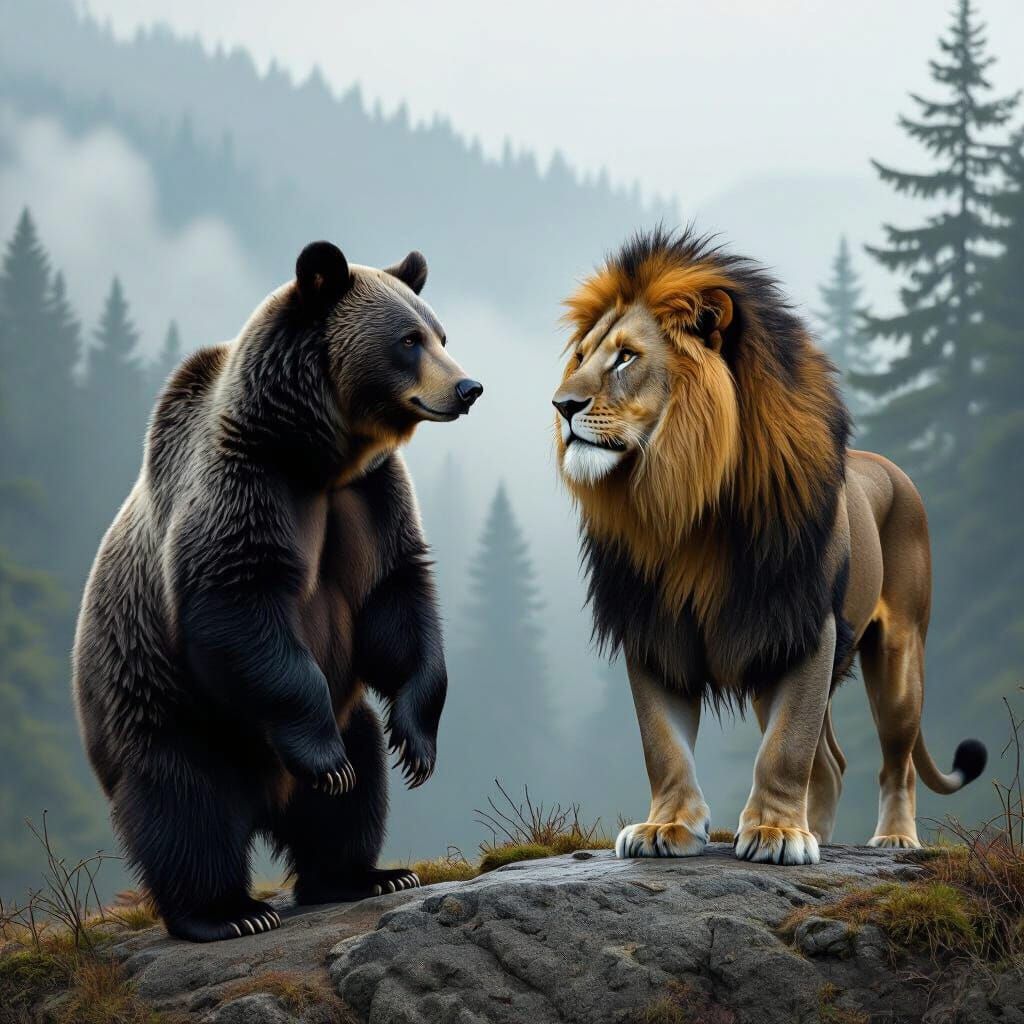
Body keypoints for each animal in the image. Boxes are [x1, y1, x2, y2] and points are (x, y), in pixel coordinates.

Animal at [72, 241, 482, 942]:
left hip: (344, 716)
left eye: (440, 334)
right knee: (188, 812)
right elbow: (239, 606)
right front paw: (325, 758)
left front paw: (416, 740)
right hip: (171, 718)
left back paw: (366, 873)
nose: (467, 387)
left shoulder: (370, 497)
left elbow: (395, 600)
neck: (316, 457)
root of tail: (269, 800)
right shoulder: (245, 486)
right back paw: (229, 912)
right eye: (408, 340)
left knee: (354, 797)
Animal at [553, 227, 987, 865]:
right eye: (581, 358)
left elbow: (785, 749)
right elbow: (664, 744)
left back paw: (894, 839)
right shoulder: (653, 628)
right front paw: (667, 827)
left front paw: (777, 834)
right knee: (832, 764)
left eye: (627, 357)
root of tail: (891, 469)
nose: (562, 406)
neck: (687, 504)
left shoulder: (804, 626)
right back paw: (822, 835)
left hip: (899, 657)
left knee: (896, 763)